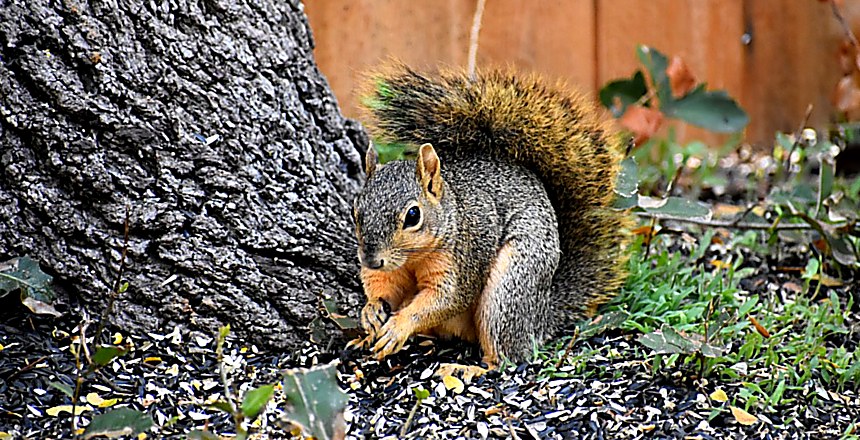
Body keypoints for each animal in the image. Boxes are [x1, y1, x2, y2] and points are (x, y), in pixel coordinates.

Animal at [350, 63, 632, 376]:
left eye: (413, 215)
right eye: (356, 210)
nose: (371, 260)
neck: (414, 256)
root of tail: (540, 318)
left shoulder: (463, 259)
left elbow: (446, 298)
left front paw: (397, 327)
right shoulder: (389, 270)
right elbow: (383, 287)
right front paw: (371, 310)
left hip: (509, 288)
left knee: (508, 357)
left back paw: (471, 369)